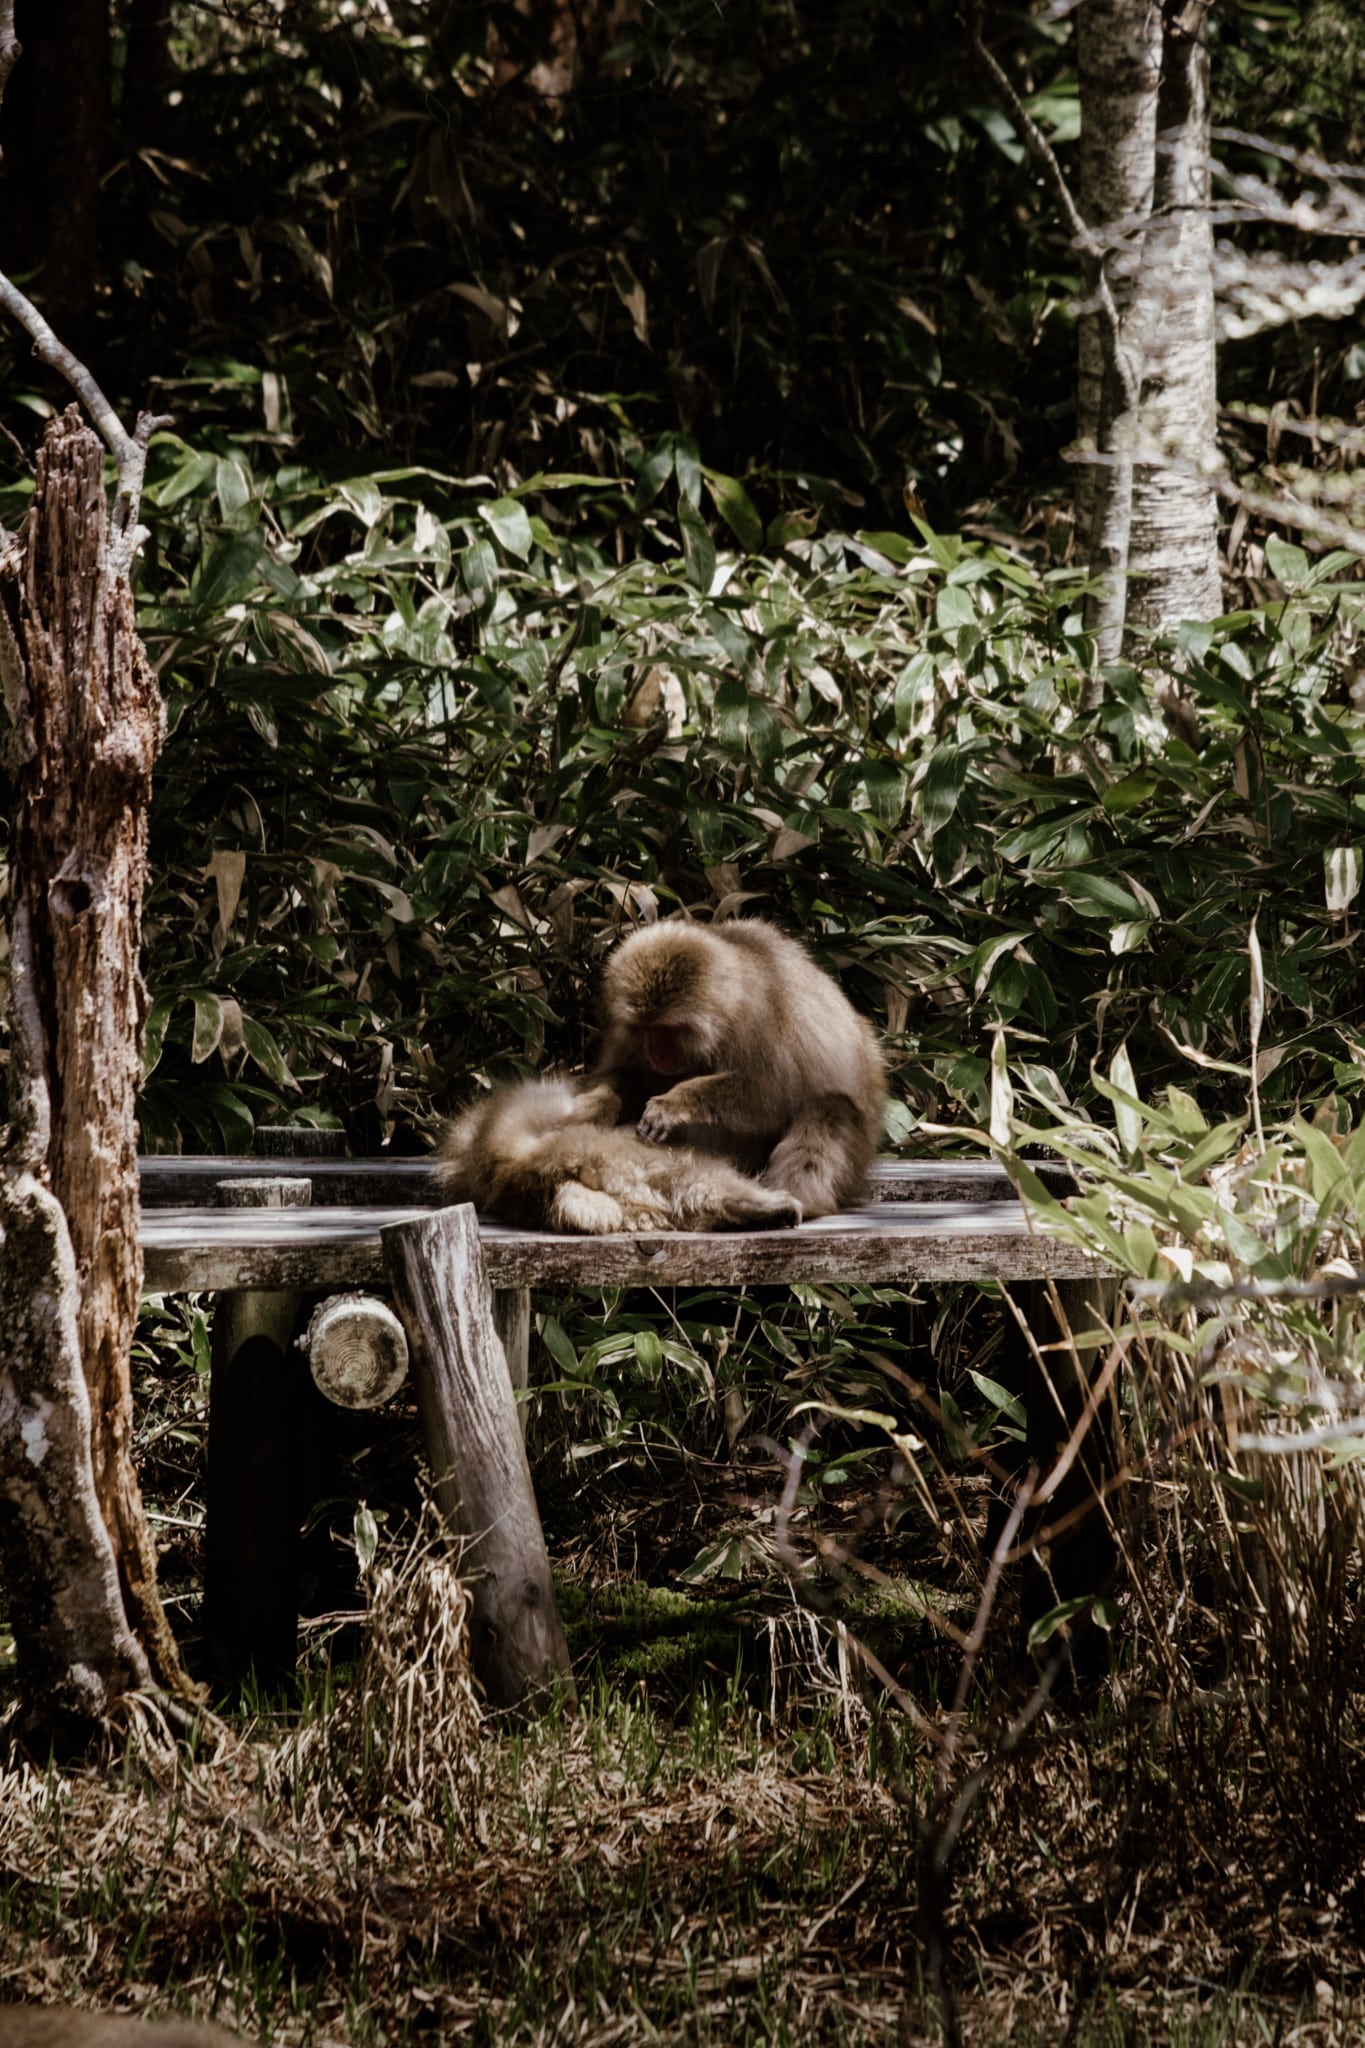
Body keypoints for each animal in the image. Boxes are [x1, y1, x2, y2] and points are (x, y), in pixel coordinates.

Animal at [592, 919, 886, 1219]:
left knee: (830, 1105)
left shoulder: (756, 1018)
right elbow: (627, 1077)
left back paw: (802, 1200)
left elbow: (774, 1093)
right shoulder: (624, 1034)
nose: (657, 1053)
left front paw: (674, 1103)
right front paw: (600, 1102)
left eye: (669, 1029)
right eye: (646, 1027)